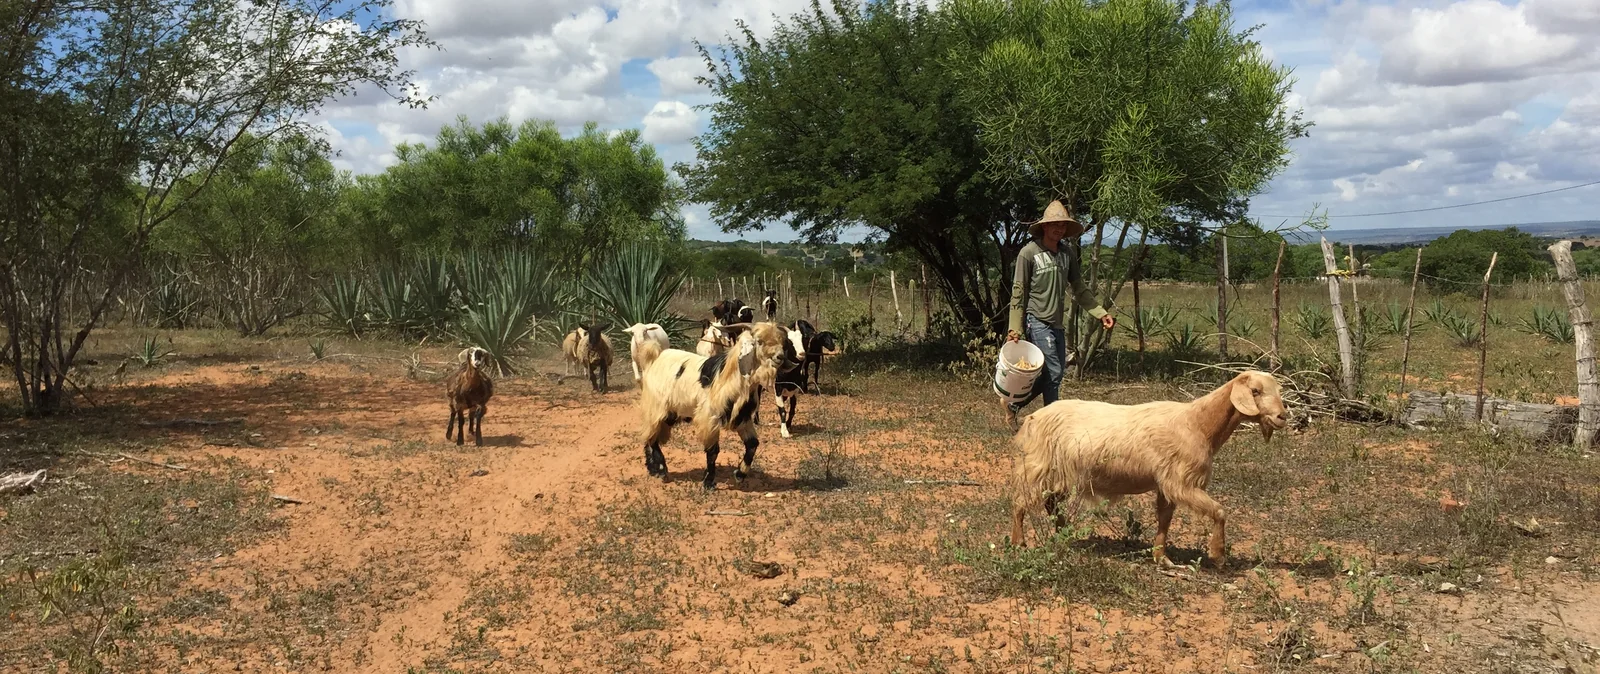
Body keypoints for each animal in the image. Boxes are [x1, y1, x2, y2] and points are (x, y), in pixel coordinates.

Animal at [637, 322, 802, 490]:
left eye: (783, 343)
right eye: (759, 341)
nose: (779, 357)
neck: (728, 378)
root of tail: (654, 358)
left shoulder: (743, 419)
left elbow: (753, 444)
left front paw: (740, 474)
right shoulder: (710, 419)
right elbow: (713, 451)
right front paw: (708, 482)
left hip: (671, 414)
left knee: (649, 437)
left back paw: (652, 469)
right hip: (657, 409)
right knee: (652, 438)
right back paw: (661, 470)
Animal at [1008, 371, 1288, 568]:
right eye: (1255, 390)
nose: (1282, 417)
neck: (1198, 424)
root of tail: (1032, 418)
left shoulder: (1166, 482)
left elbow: (1165, 518)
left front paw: (1162, 559)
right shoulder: (1181, 481)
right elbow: (1220, 511)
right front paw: (1218, 555)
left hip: (1062, 474)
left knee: (1051, 503)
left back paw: (1062, 534)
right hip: (1039, 467)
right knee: (1020, 503)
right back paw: (1019, 543)